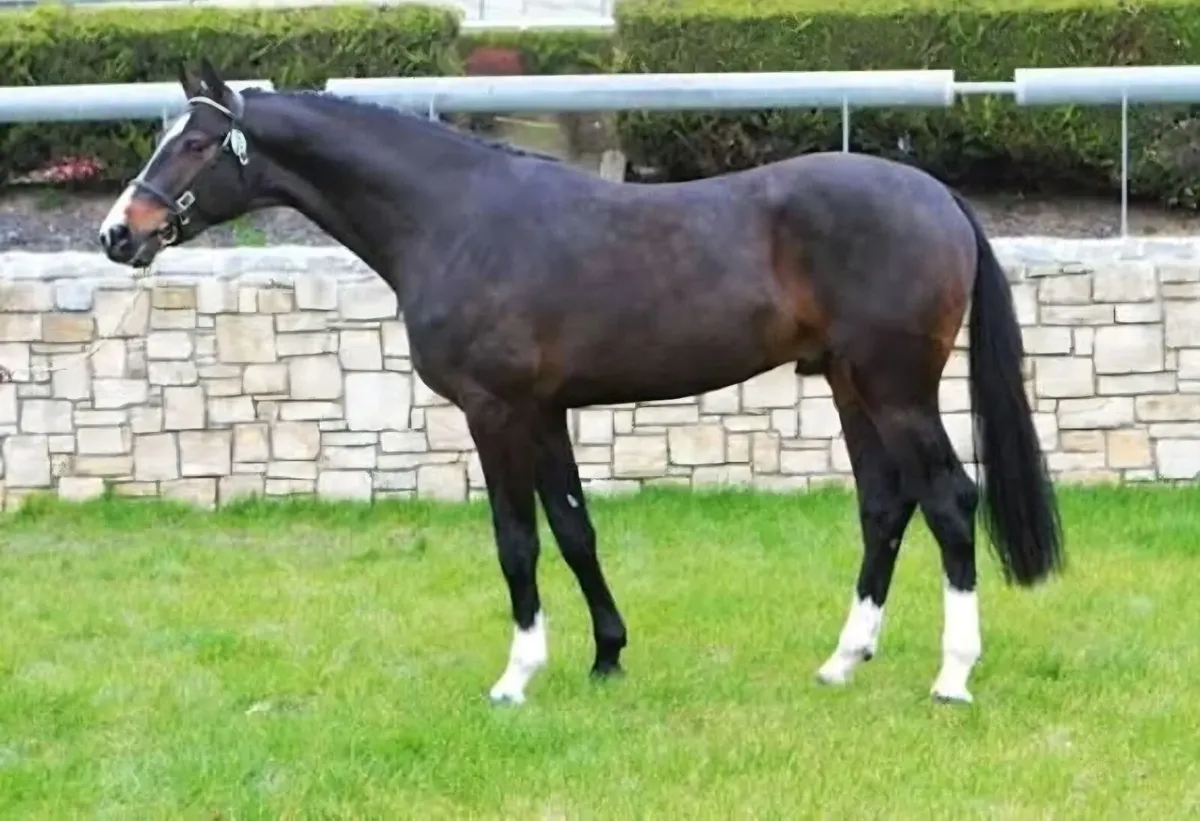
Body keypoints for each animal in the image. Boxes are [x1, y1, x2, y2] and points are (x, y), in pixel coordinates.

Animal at [98, 58, 1065, 706]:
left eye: (194, 142)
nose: (118, 232)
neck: (455, 217)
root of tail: (937, 196)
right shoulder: (547, 412)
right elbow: (574, 530)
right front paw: (607, 655)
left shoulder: (495, 412)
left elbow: (516, 541)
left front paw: (517, 675)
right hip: (848, 385)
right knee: (883, 504)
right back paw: (842, 659)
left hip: (897, 388)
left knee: (949, 500)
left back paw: (952, 674)